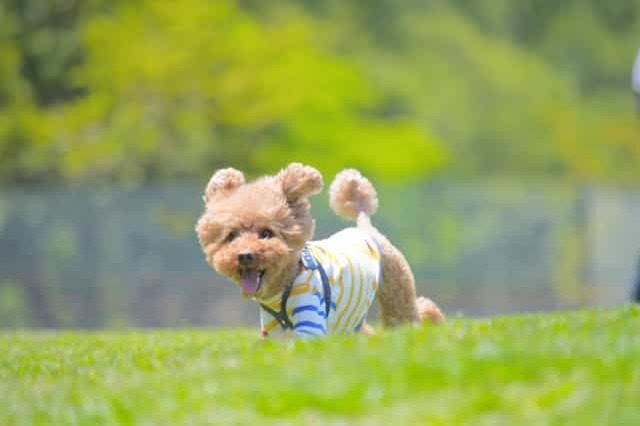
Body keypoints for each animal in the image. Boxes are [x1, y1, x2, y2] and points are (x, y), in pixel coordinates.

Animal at [196, 164, 444, 340]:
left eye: (266, 233)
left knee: (413, 313)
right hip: (352, 316)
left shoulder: (310, 320)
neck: (284, 285)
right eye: (231, 236)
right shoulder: (272, 329)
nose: (245, 255)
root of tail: (364, 226)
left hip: (396, 293)